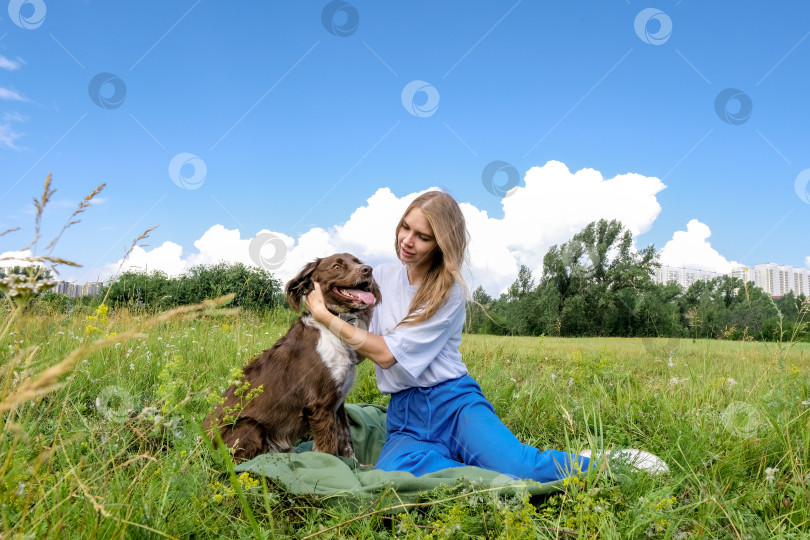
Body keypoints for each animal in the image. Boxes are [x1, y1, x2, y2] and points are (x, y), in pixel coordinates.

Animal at [202, 253, 378, 460]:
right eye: (336, 266)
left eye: (358, 262)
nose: (368, 269)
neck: (332, 327)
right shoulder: (320, 405)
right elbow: (329, 450)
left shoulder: (338, 402)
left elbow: (347, 443)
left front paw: (356, 465)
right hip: (250, 426)